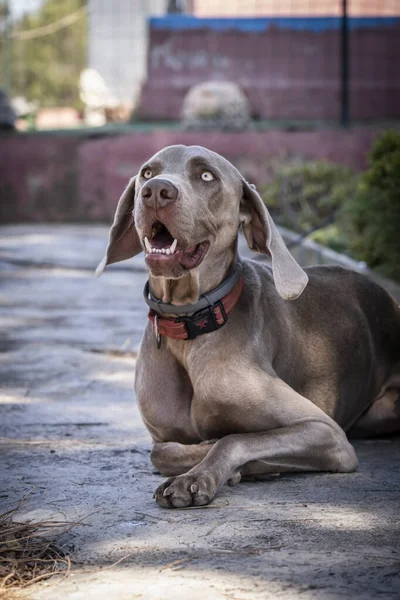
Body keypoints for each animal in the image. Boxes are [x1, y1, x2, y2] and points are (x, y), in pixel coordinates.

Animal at [97, 144, 400, 506]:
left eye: (207, 175)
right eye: (147, 172)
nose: (156, 191)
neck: (190, 324)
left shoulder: (326, 432)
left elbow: (234, 439)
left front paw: (198, 477)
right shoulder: (162, 437)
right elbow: (162, 451)